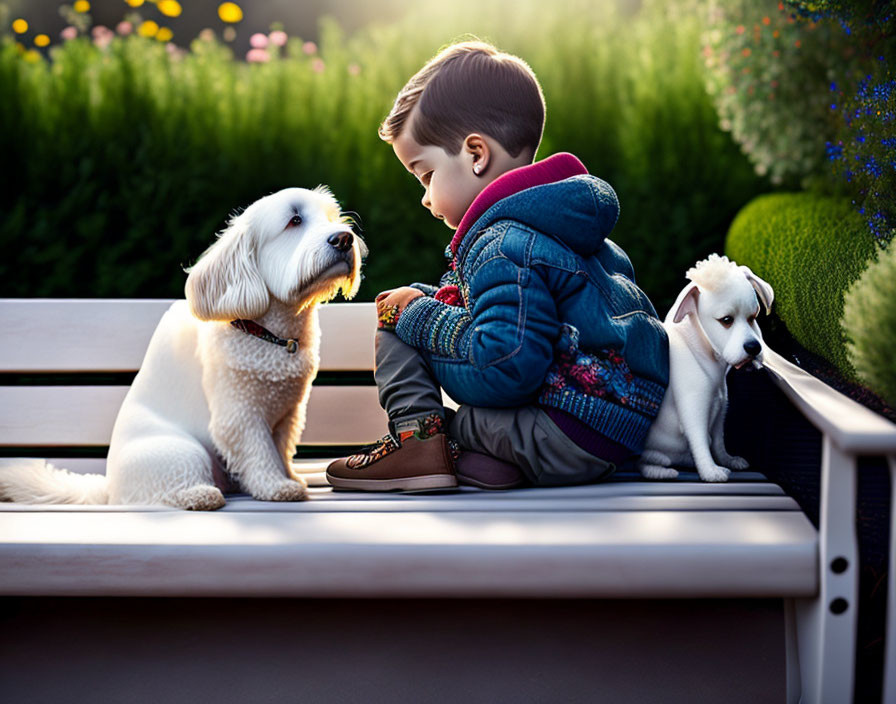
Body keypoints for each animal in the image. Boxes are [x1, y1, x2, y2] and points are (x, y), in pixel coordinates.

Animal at [0, 186, 366, 506]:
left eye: (332, 217)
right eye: (294, 221)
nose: (344, 238)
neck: (270, 335)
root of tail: (109, 488)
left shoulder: (288, 415)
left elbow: (281, 450)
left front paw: (290, 475)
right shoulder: (239, 415)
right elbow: (261, 453)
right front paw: (277, 486)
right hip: (182, 452)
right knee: (165, 491)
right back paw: (199, 495)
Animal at [640, 254, 772, 484]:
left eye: (753, 317)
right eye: (726, 320)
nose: (754, 348)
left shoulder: (720, 411)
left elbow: (718, 441)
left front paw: (727, 460)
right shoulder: (694, 409)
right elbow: (701, 441)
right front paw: (710, 471)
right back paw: (661, 469)